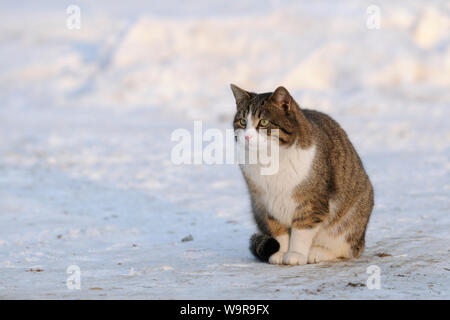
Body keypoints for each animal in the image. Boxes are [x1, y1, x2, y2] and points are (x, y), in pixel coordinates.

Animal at [230, 83, 374, 264]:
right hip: (256, 209)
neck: (269, 159)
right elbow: (279, 231)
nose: (247, 137)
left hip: (353, 216)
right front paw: (281, 253)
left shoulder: (310, 202)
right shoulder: (266, 202)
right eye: (242, 122)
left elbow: (301, 231)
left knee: (347, 247)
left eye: (263, 122)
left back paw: (317, 252)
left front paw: (295, 254)